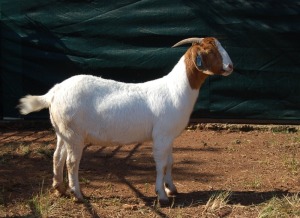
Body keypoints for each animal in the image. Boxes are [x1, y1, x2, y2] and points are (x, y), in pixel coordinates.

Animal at [18, 37, 233, 204]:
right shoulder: (161, 135)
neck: (175, 90)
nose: (230, 66)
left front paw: (171, 188)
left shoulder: (169, 136)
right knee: (72, 161)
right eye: (210, 51)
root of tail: (54, 92)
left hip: (63, 132)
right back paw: (77, 194)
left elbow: (170, 162)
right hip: (74, 133)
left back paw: (59, 188)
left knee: (57, 156)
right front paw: (162, 195)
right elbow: (161, 163)